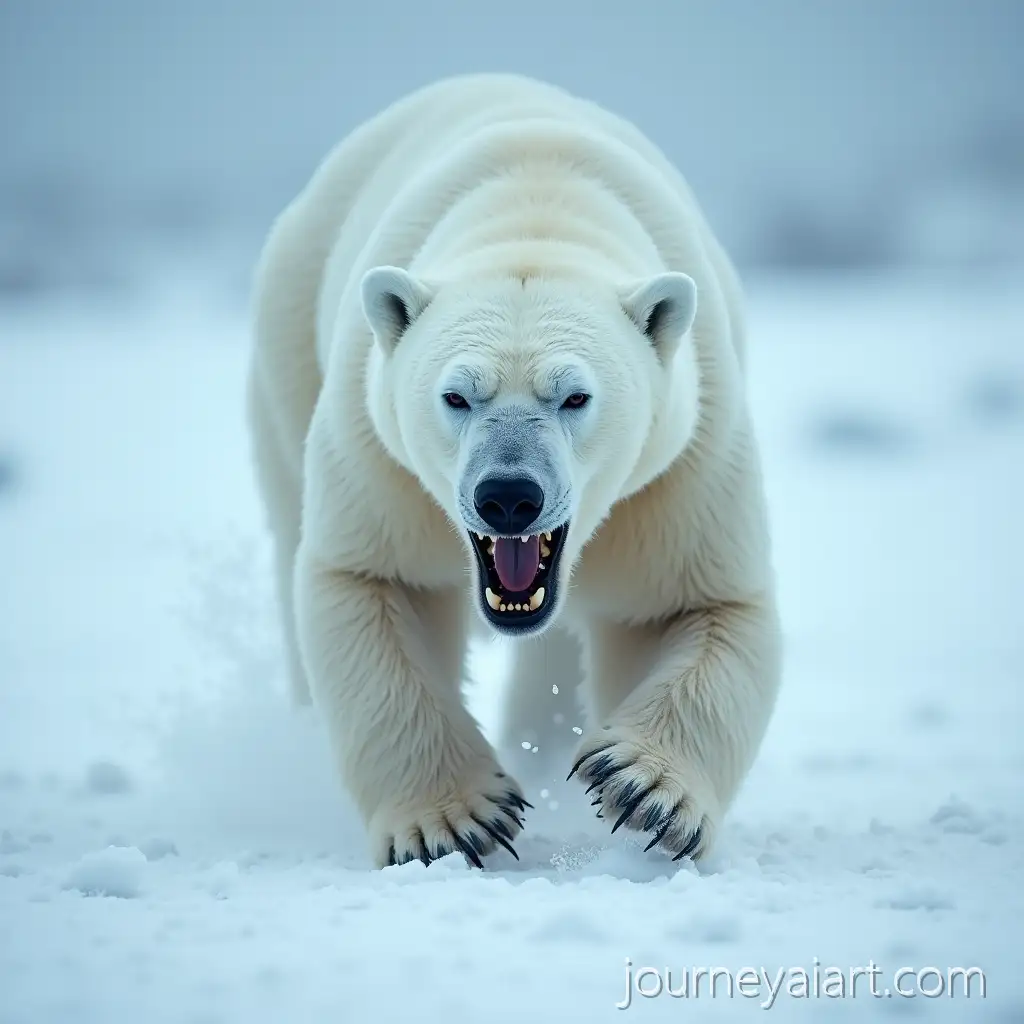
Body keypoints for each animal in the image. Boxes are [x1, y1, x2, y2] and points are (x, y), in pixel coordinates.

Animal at [247, 73, 781, 869]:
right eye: (456, 395)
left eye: (575, 395)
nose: (507, 497)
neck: (539, 214)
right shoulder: (379, 455)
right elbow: (374, 584)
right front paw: (453, 821)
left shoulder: (678, 466)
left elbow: (697, 603)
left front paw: (642, 789)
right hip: (289, 344)